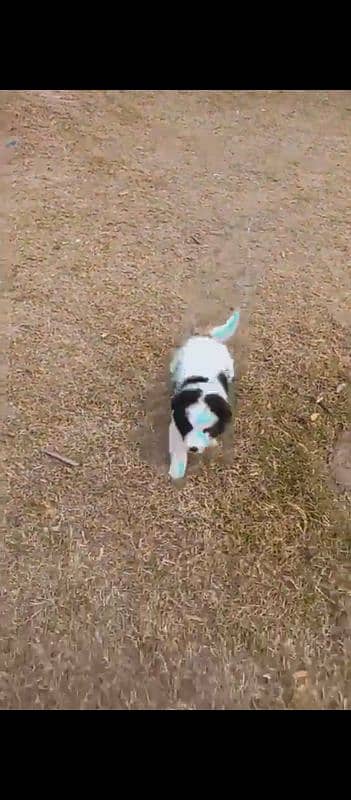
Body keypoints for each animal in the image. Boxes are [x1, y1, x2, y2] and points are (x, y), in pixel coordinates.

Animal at [170, 310, 241, 478]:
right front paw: (177, 471)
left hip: (225, 358)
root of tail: (207, 338)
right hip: (183, 352)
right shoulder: (176, 418)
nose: (193, 448)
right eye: (187, 426)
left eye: (206, 430)